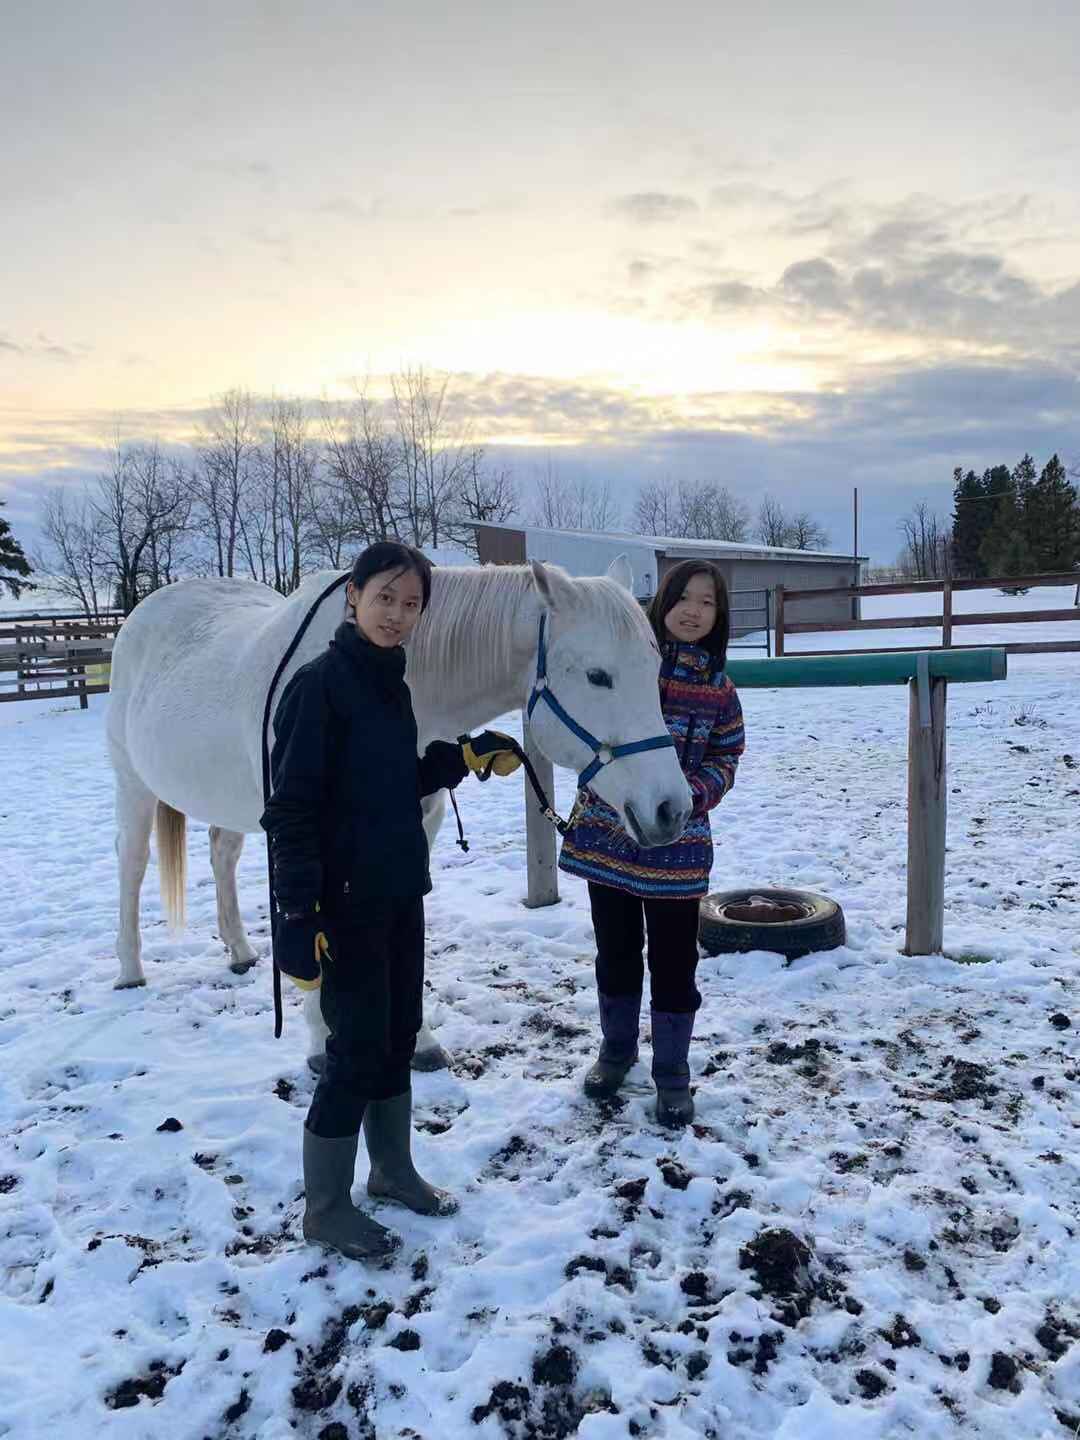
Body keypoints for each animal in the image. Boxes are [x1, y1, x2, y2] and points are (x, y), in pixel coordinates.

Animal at [105, 555, 688, 1065]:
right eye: (597, 676)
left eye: (656, 666)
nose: (672, 809)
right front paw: (320, 1040)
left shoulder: (415, 826)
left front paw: (420, 1040)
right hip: (132, 786)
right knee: (131, 865)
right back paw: (130, 968)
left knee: (221, 855)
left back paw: (240, 951)